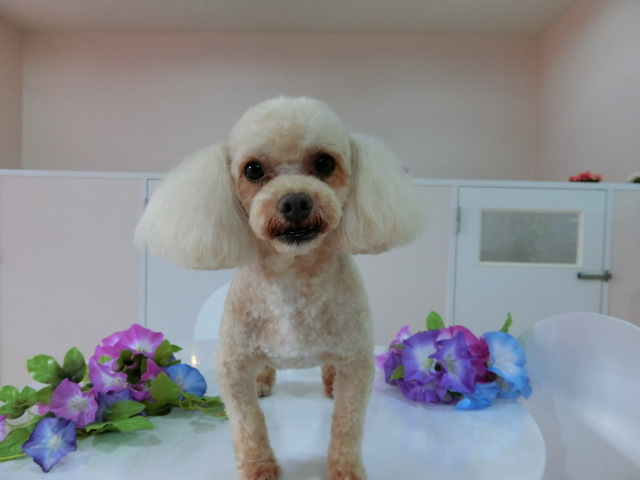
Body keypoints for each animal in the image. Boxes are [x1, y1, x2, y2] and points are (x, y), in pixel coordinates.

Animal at [135, 96, 424, 480]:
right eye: (253, 169)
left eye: (324, 162)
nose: (296, 201)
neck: (293, 276)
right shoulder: (233, 367)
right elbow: (249, 423)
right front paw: (259, 467)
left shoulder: (357, 363)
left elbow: (346, 424)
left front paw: (345, 468)